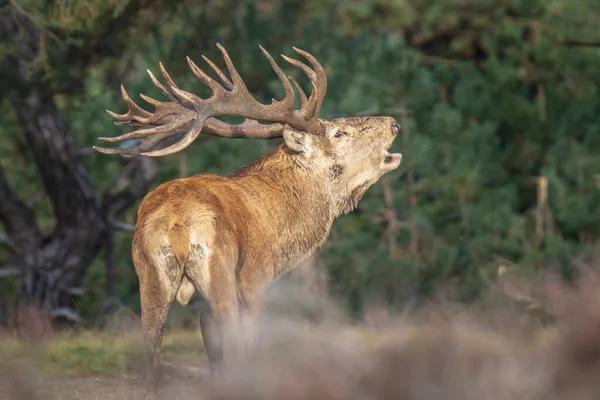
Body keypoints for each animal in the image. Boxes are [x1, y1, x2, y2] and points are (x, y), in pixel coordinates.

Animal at [95, 43, 404, 400]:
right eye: (340, 133)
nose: (394, 123)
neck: (280, 226)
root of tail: (178, 225)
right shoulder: (256, 280)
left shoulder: (201, 304)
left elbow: (214, 358)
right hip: (223, 274)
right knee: (231, 348)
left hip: (149, 276)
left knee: (153, 354)